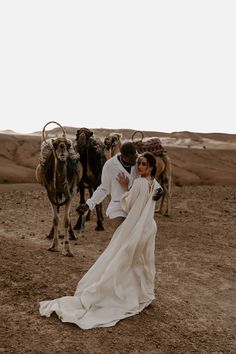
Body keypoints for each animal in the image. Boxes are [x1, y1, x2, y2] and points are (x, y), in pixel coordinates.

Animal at [35, 123, 82, 256]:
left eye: (68, 145)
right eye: (55, 145)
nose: (63, 155)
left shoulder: (69, 192)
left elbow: (66, 220)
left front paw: (67, 249)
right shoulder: (51, 193)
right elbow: (55, 219)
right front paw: (54, 245)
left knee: (68, 215)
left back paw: (72, 235)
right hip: (57, 194)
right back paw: (51, 234)